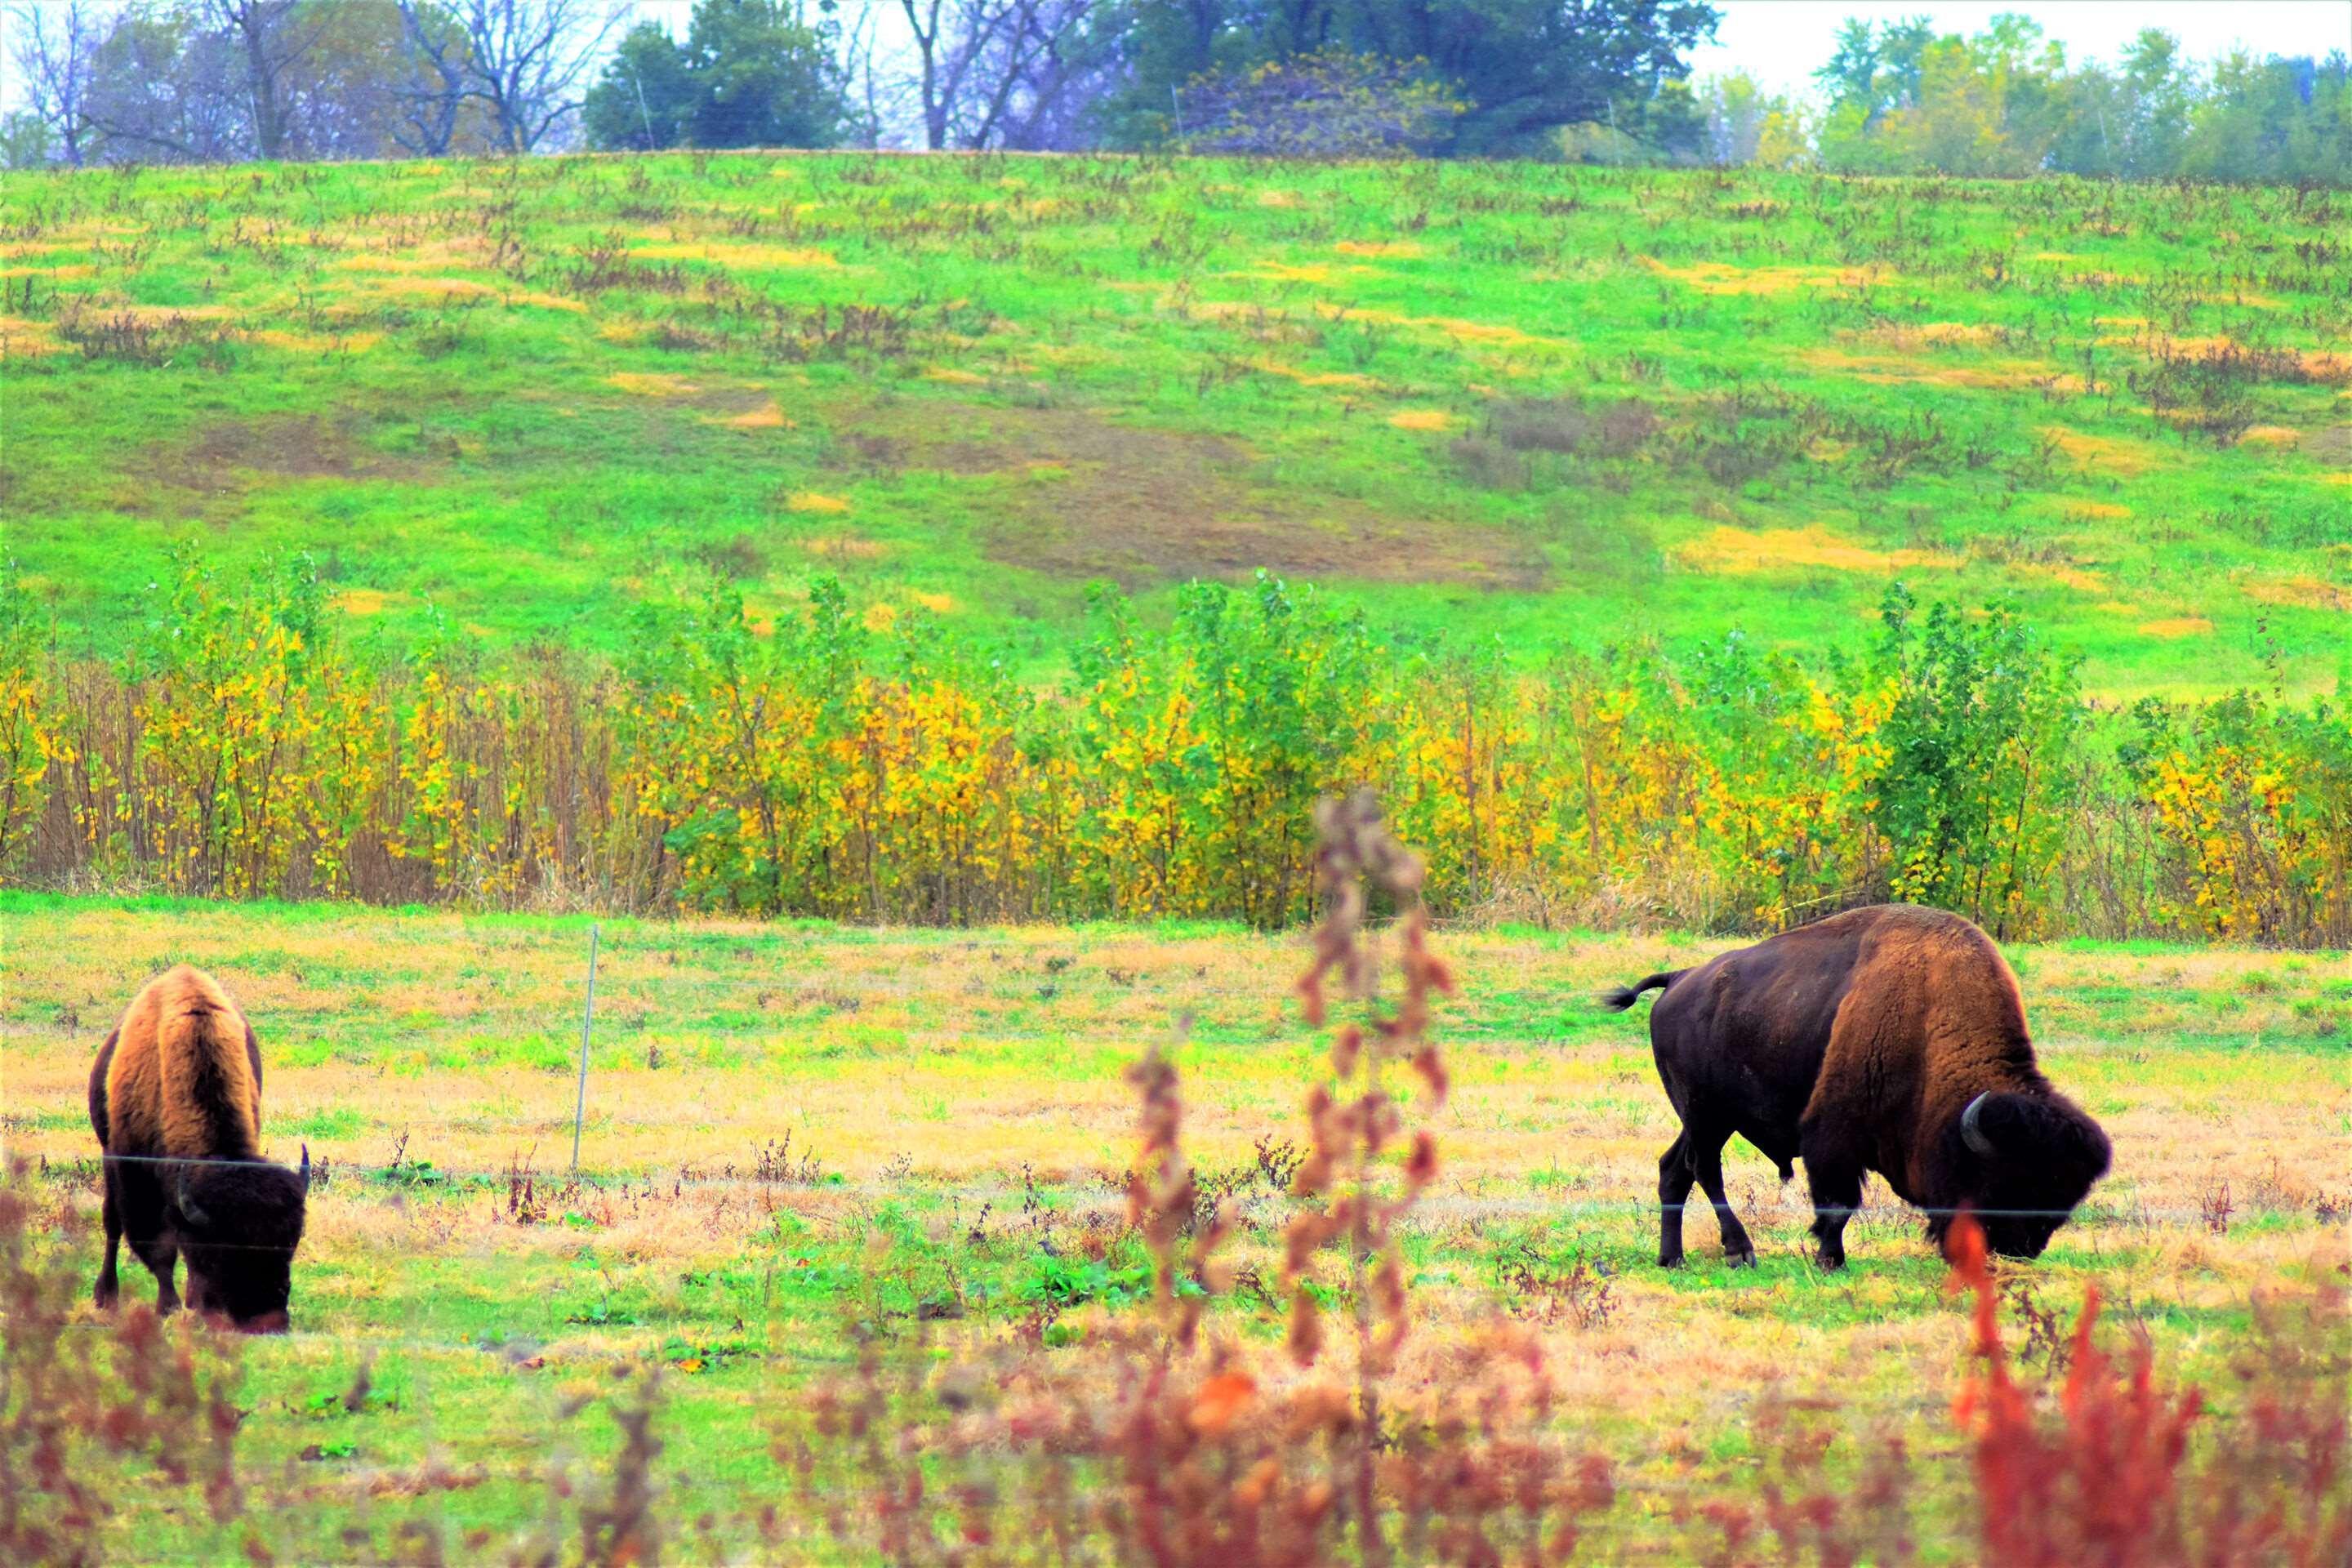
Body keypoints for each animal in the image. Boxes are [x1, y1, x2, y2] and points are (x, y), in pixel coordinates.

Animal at [88, 964, 308, 1335]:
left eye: (289, 1246)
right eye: (222, 1252)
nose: (269, 1323)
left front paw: (193, 1304)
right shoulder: (134, 1178)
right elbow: (159, 1250)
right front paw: (169, 1307)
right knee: (112, 1223)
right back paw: (106, 1297)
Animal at [1599, 907, 2117, 1278]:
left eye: (2063, 1195)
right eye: (2006, 1180)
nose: (2022, 1248)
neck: (1928, 1017)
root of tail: (1680, 978)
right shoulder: (1832, 1137)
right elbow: (1838, 1204)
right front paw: (1832, 1261)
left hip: (1707, 1119)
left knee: (1674, 1170)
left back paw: (1673, 1259)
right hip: (1706, 1114)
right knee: (1705, 1170)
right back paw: (1740, 1253)